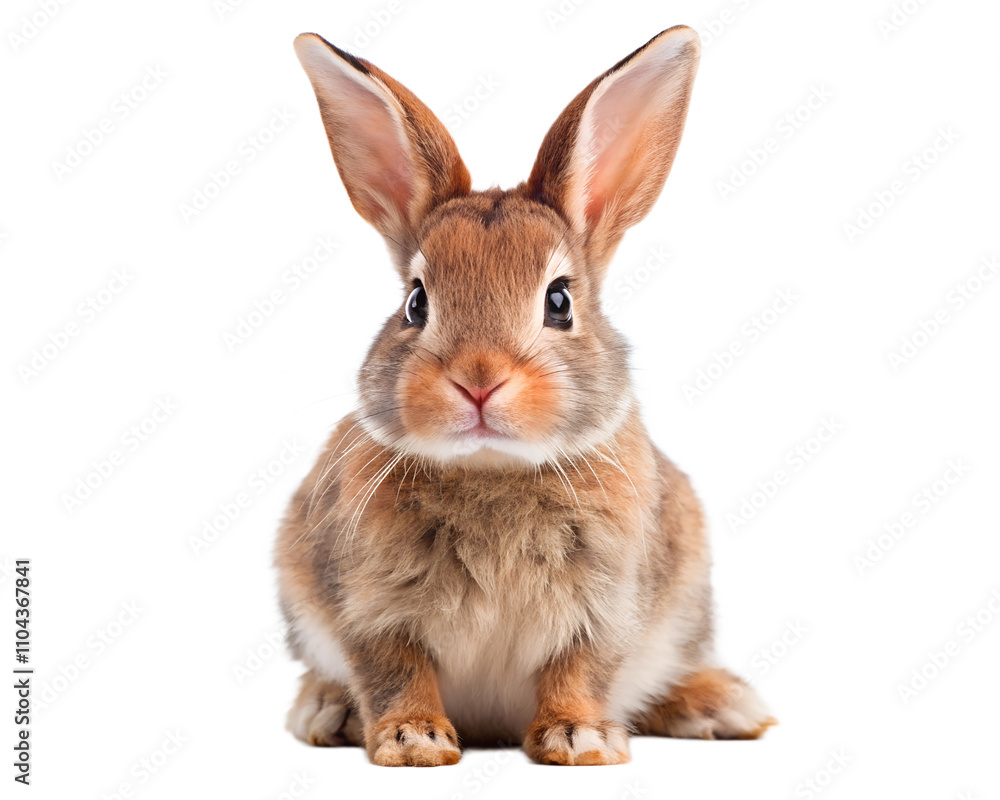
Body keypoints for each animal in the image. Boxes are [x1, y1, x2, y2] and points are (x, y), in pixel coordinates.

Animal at [275, 25, 775, 767]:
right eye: (416, 303)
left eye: (559, 301)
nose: (478, 378)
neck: (493, 471)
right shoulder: (366, 606)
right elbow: (394, 670)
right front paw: (413, 741)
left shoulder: (607, 608)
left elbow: (581, 669)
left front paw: (580, 740)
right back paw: (325, 711)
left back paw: (721, 705)